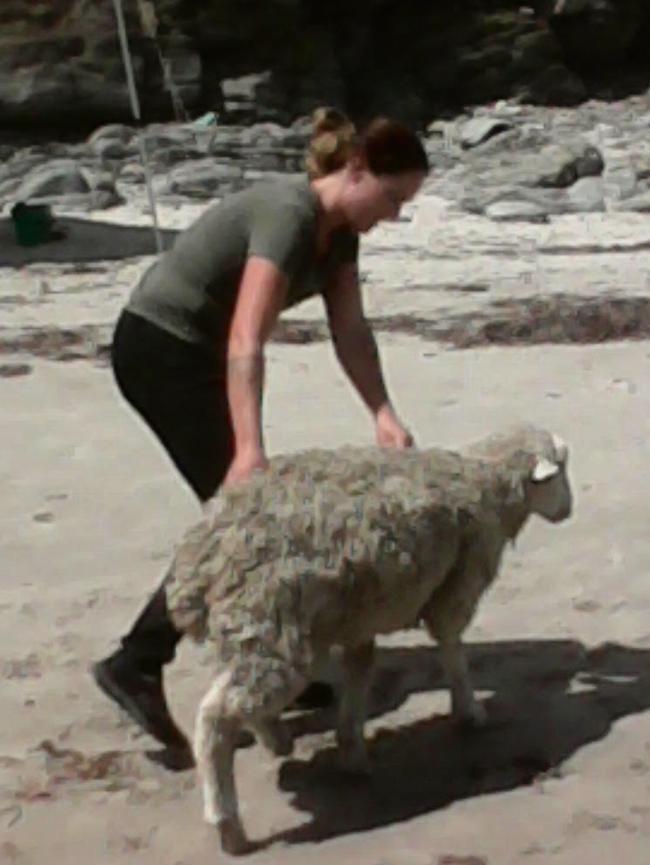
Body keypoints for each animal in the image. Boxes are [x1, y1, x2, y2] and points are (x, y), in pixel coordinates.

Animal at [163, 422, 572, 852]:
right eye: (561, 468)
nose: (568, 510)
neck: (486, 483)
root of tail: (200, 563)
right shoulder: (459, 581)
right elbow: (451, 648)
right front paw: (469, 712)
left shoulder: (357, 614)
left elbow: (361, 670)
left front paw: (352, 749)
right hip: (268, 626)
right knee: (214, 719)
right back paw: (227, 824)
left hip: (261, 633)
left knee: (240, 697)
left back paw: (275, 738)